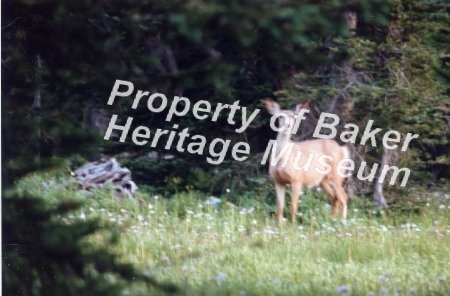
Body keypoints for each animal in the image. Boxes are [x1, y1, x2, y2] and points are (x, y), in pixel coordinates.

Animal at [264, 99, 352, 227]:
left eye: (293, 116)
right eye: (280, 116)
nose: (287, 125)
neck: (282, 160)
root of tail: (342, 150)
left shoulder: (297, 179)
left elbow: (293, 206)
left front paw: (293, 225)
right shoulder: (278, 181)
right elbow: (279, 206)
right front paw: (279, 226)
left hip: (337, 174)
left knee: (343, 196)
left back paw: (342, 222)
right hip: (323, 180)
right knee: (335, 197)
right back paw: (331, 221)